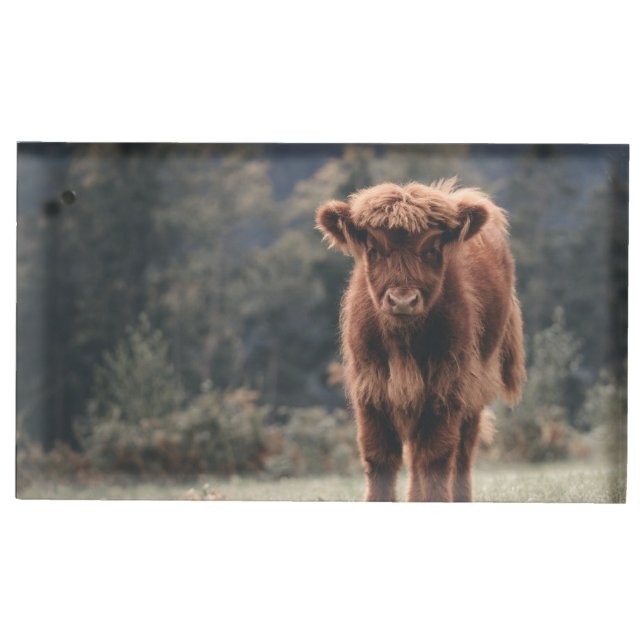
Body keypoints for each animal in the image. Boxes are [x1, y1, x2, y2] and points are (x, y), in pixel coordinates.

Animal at [315, 178, 526, 502]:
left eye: (432, 248)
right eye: (374, 248)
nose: (402, 300)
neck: (403, 342)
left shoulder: (447, 386)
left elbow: (436, 458)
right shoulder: (371, 388)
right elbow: (379, 457)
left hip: (476, 385)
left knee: (462, 451)